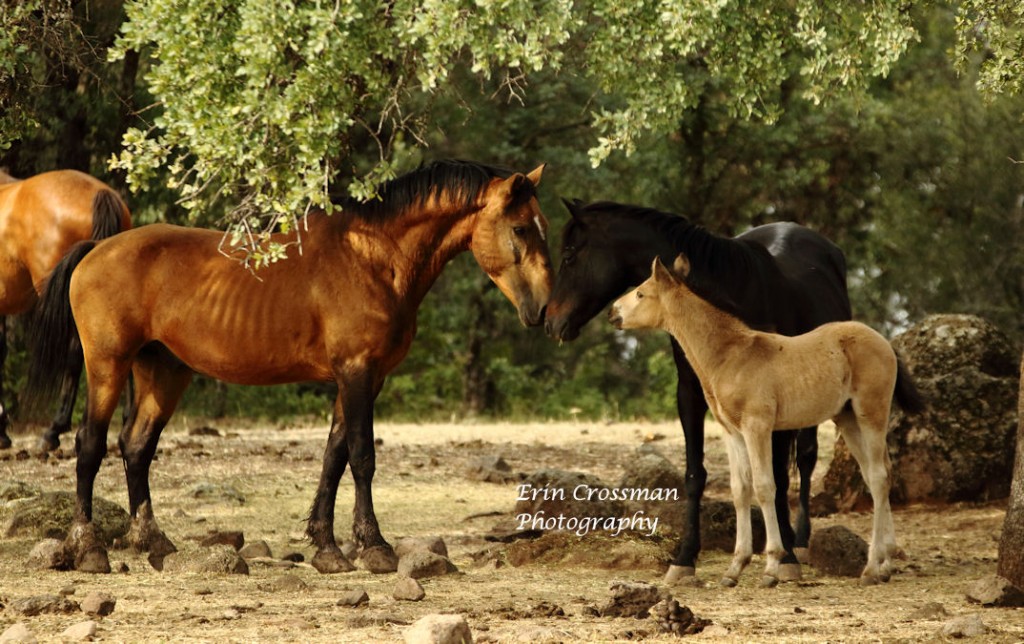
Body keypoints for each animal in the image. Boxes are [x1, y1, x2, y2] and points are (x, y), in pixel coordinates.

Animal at [27, 159, 552, 574]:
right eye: (521, 229)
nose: (544, 309)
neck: (372, 259)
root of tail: (96, 249)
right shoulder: (357, 372)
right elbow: (362, 456)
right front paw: (375, 547)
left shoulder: (363, 378)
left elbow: (334, 456)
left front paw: (328, 547)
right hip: (107, 364)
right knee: (90, 445)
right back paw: (89, 549)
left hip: (164, 372)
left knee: (136, 447)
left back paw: (154, 543)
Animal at [543, 200, 852, 583]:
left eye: (569, 255)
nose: (550, 322)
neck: (730, 291)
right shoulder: (691, 393)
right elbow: (695, 475)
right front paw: (684, 557)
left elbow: (778, 477)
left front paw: (787, 559)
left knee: (806, 459)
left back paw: (801, 541)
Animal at [610, 255, 924, 587]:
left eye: (641, 293)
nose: (613, 312)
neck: (730, 355)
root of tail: (885, 342)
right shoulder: (732, 432)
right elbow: (740, 489)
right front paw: (735, 567)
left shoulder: (757, 426)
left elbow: (764, 486)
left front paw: (772, 565)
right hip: (847, 418)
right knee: (879, 473)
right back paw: (886, 563)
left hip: (871, 412)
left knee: (878, 475)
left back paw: (872, 567)